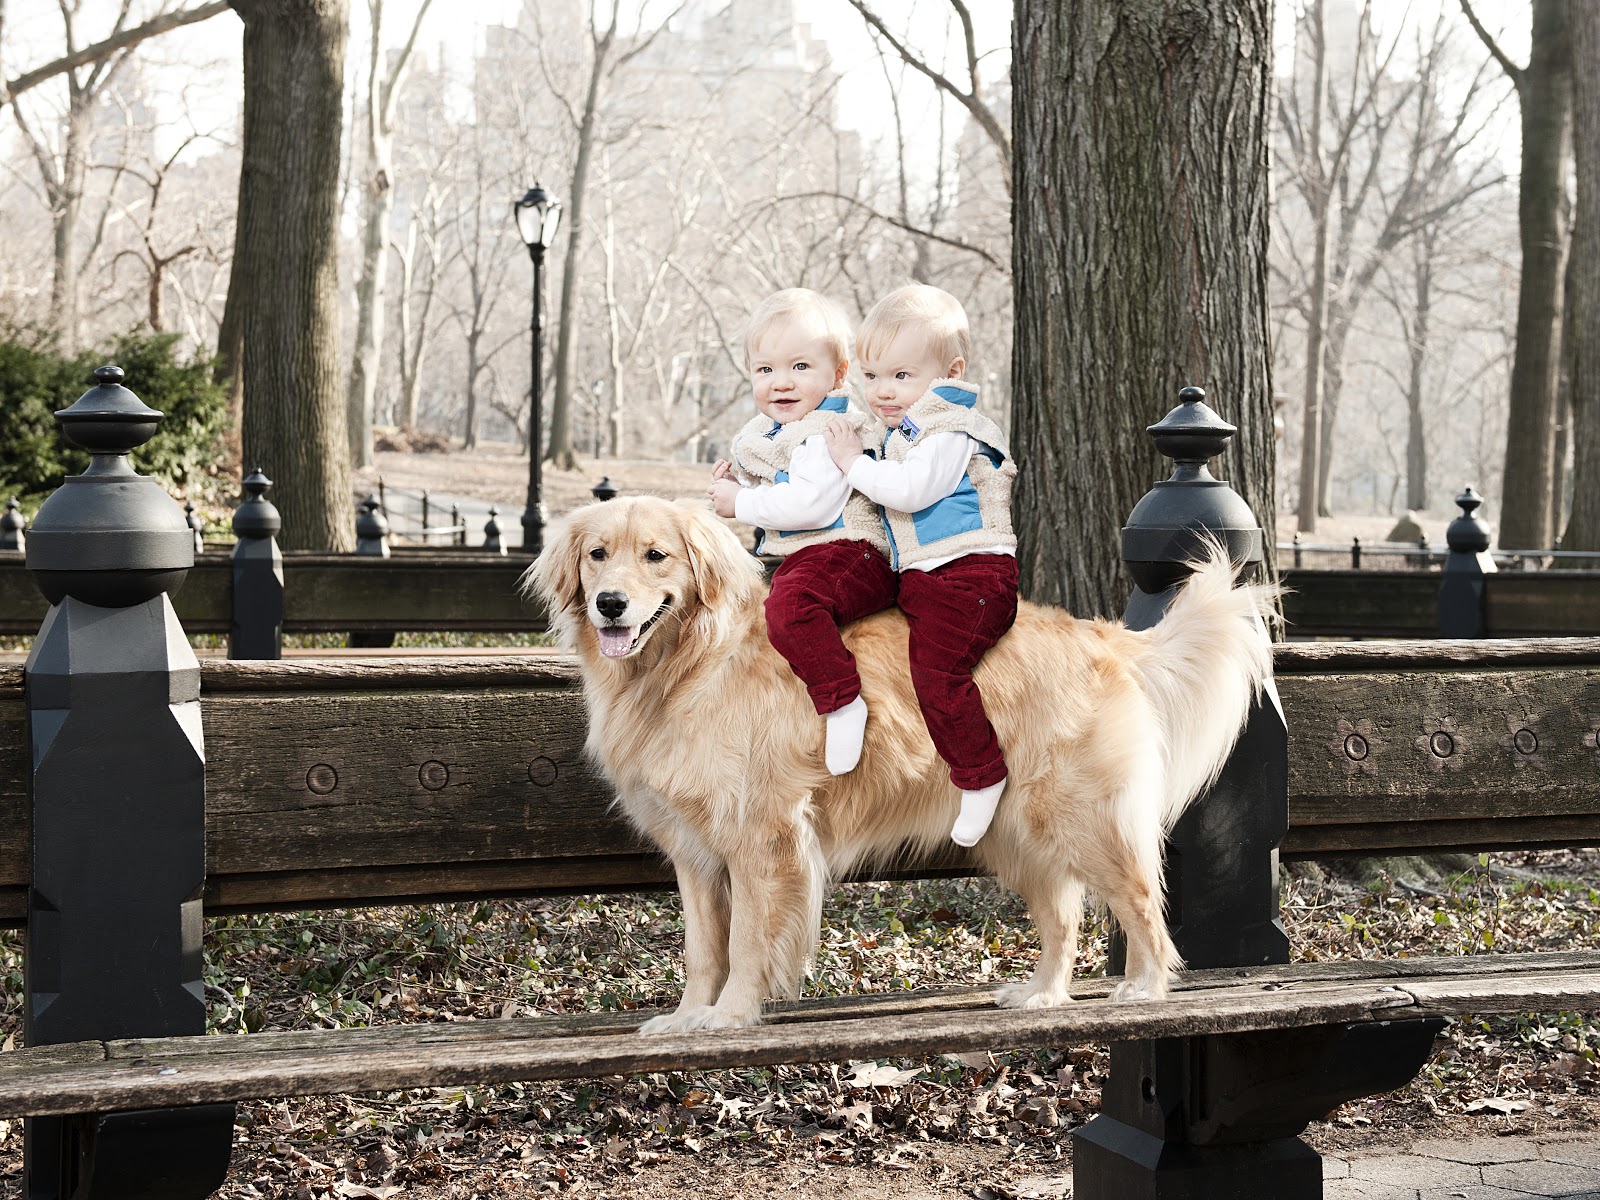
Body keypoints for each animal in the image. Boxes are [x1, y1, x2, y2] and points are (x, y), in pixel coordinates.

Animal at [524, 496, 1273, 1036]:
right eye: (597, 555)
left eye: (657, 556)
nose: (610, 604)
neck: (687, 667)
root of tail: (1101, 635)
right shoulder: (696, 855)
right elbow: (704, 947)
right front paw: (686, 1016)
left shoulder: (764, 838)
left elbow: (748, 941)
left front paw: (729, 1016)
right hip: (1018, 835)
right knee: (1063, 916)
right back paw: (1042, 994)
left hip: (1083, 819)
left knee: (1143, 902)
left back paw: (1145, 987)